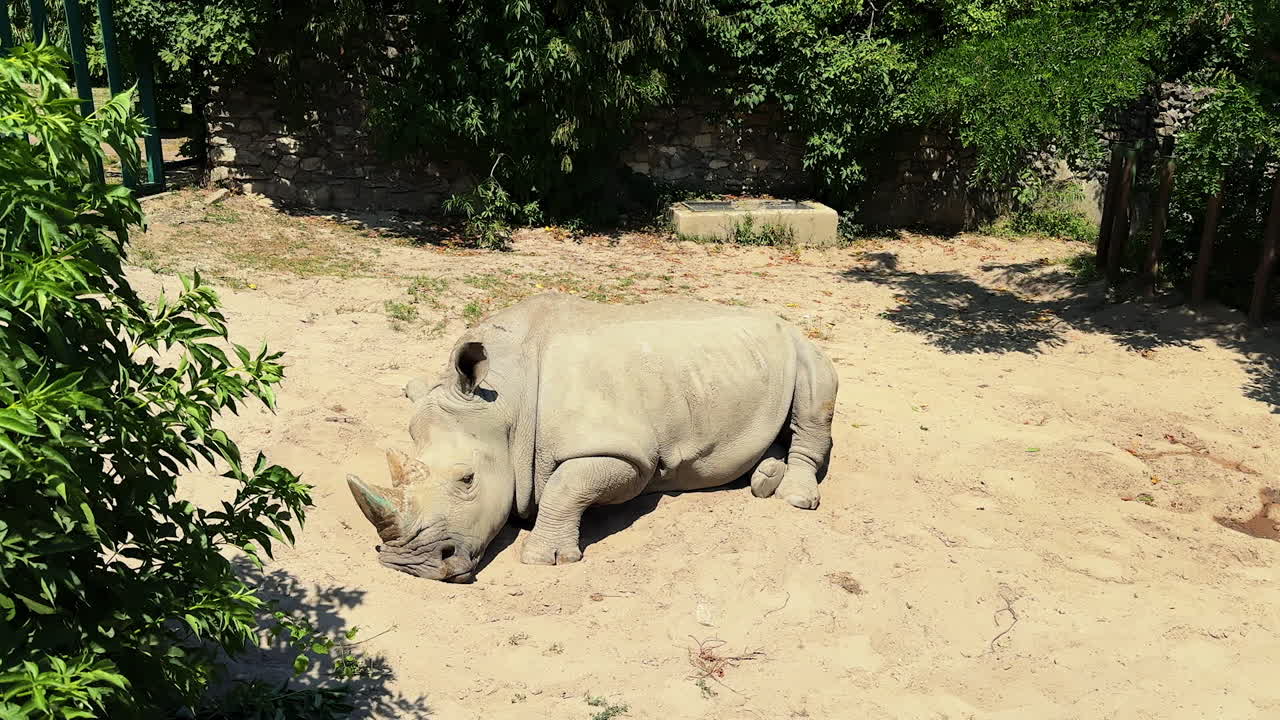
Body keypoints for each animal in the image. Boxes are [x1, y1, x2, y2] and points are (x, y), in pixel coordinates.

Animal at [347, 292, 838, 582]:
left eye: (468, 480)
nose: (409, 565)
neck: (505, 402)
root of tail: (781, 319)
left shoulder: (629, 455)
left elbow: (567, 486)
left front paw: (544, 560)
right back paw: (764, 479)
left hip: (801, 345)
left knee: (815, 399)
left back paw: (795, 498)